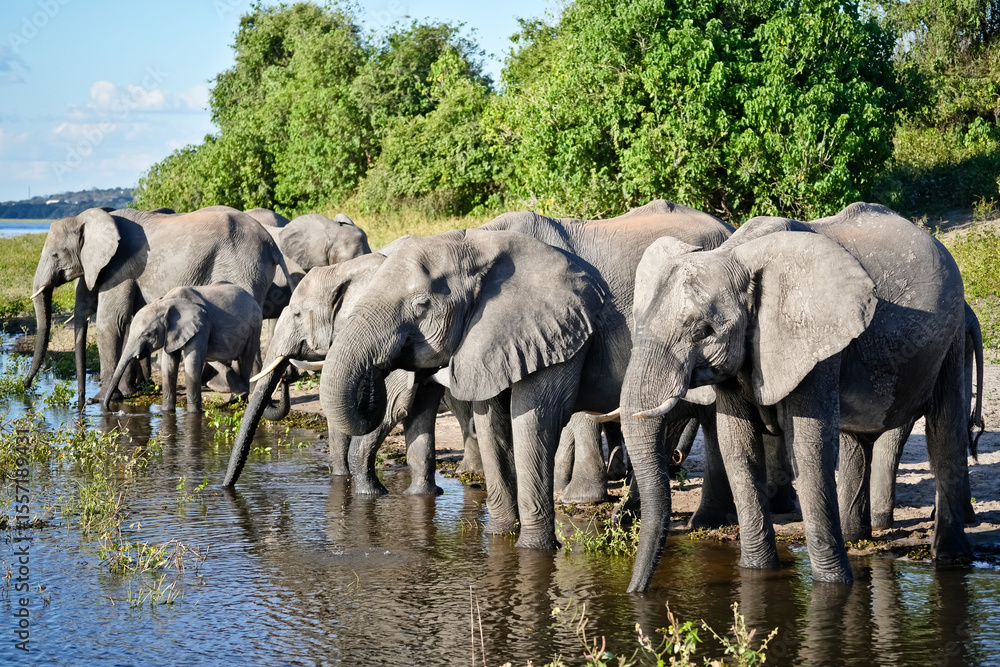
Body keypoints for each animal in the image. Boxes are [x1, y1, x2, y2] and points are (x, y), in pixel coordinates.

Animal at [102, 283, 263, 413]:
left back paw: (241, 400)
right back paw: (237, 396)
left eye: (147, 334)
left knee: (245, 360)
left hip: (255, 325)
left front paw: (194, 414)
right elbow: (169, 365)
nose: (111, 410)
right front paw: (167, 412)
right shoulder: (171, 333)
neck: (166, 303)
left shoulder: (201, 326)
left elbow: (192, 364)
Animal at [222, 254, 478, 496]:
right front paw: (341, 479)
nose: (225, 488)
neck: (344, 270)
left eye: (297, 315)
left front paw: (369, 493)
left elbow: (392, 408)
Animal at [319, 200, 733, 549]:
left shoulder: (561, 326)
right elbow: (492, 424)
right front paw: (501, 537)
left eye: (421, 305)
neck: (475, 243)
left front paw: (538, 544)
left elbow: (534, 419)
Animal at [620, 202, 972, 593]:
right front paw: (758, 572)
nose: (635, 593)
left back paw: (951, 560)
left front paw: (834, 584)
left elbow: (807, 446)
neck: (735, 254)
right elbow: (738, 447)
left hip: (952, 333)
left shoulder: (814, 337)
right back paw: (855, 539)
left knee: (945, 431)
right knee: (857, 441)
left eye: (703, 331)